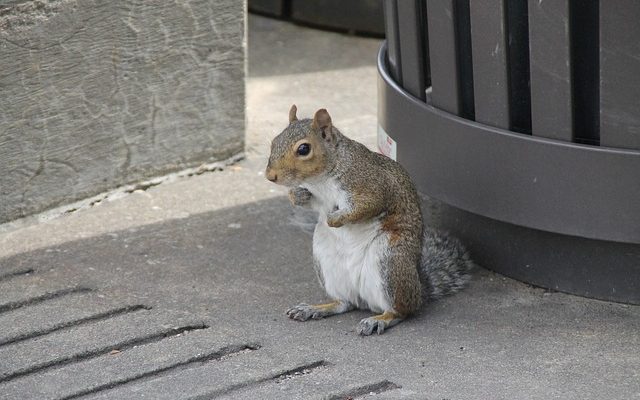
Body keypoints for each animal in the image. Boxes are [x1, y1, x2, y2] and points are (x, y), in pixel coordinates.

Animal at [266, 105, 476, 334]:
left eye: (304, 149)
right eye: (274, 141)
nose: (270, 176)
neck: (321, 179)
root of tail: (420, 290)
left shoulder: (371, 185)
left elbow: (367, 206)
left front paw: (335, 219)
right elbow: (307, 201)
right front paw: (297, 195)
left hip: (391, 261)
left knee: (402, 311)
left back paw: (379, 319)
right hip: (325, 261)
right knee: (344, 303)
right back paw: (315, 308)